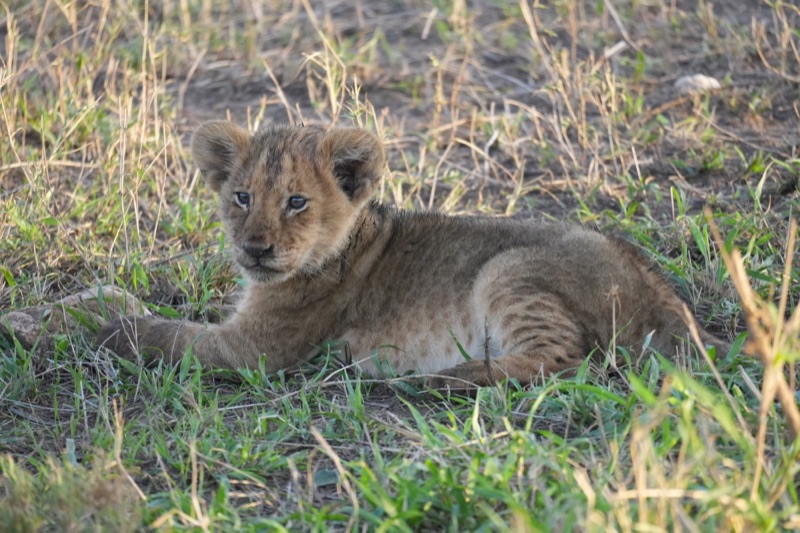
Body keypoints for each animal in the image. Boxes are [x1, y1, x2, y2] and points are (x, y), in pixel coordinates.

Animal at [94, 121, 730, 388]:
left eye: (297, 202)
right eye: (242, 197)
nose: (255, 248)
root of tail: (667, 298)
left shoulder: (257, 350)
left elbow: (157, 333)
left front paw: (78, 317)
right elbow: (154, 315)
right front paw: (98, 300)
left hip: (509, 269)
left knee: (566, 361)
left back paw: (434, 378)